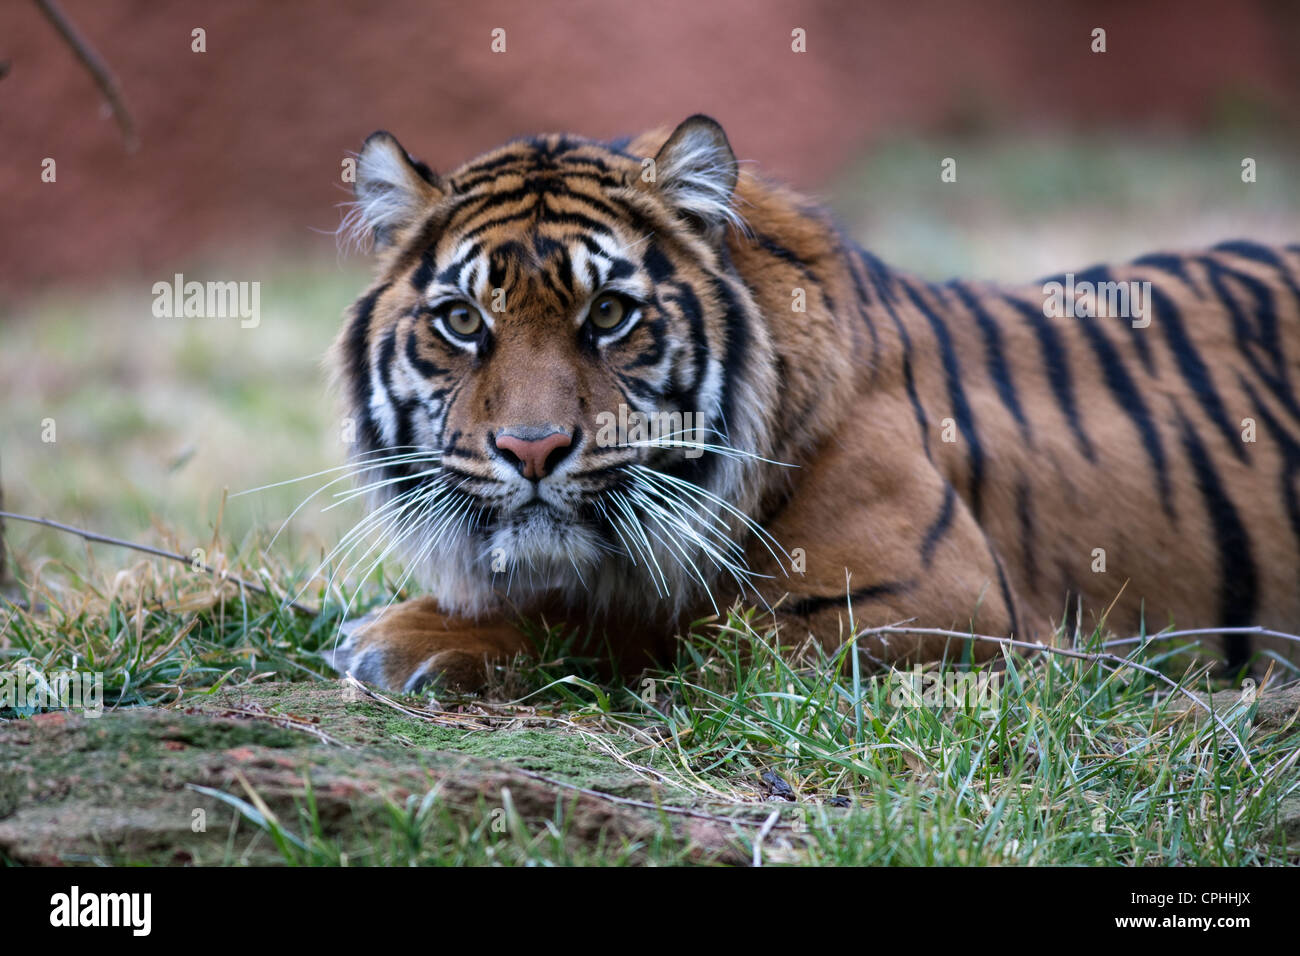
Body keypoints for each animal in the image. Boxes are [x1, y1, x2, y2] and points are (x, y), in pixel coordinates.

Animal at [325, 113, 1300, 697]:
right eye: (462, 320)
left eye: (607, 314)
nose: (532, 450)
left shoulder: (945, 602)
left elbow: (673, 631)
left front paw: (401, 638)